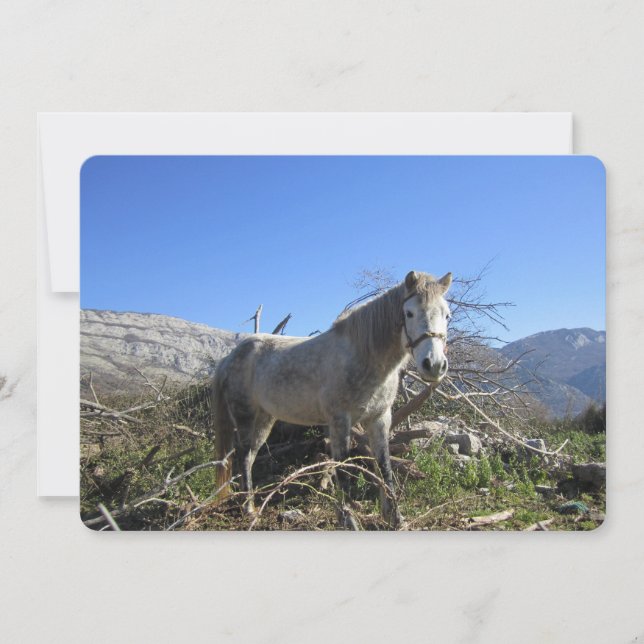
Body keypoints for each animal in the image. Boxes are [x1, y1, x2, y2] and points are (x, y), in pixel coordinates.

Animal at [212, 270, 452, 528]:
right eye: (409, 313)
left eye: (447, 315)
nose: (434, 365)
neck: (364, 356)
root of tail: (230, 357)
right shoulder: (340, 420)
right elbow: (343, 469)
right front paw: (350, 521)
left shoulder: (379, 418)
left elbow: (384, 466)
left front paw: (395, 518)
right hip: (245, 416)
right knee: (244, 456)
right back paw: (248, 508)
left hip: (265, 418)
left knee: (250, 456)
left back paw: (252, 506)